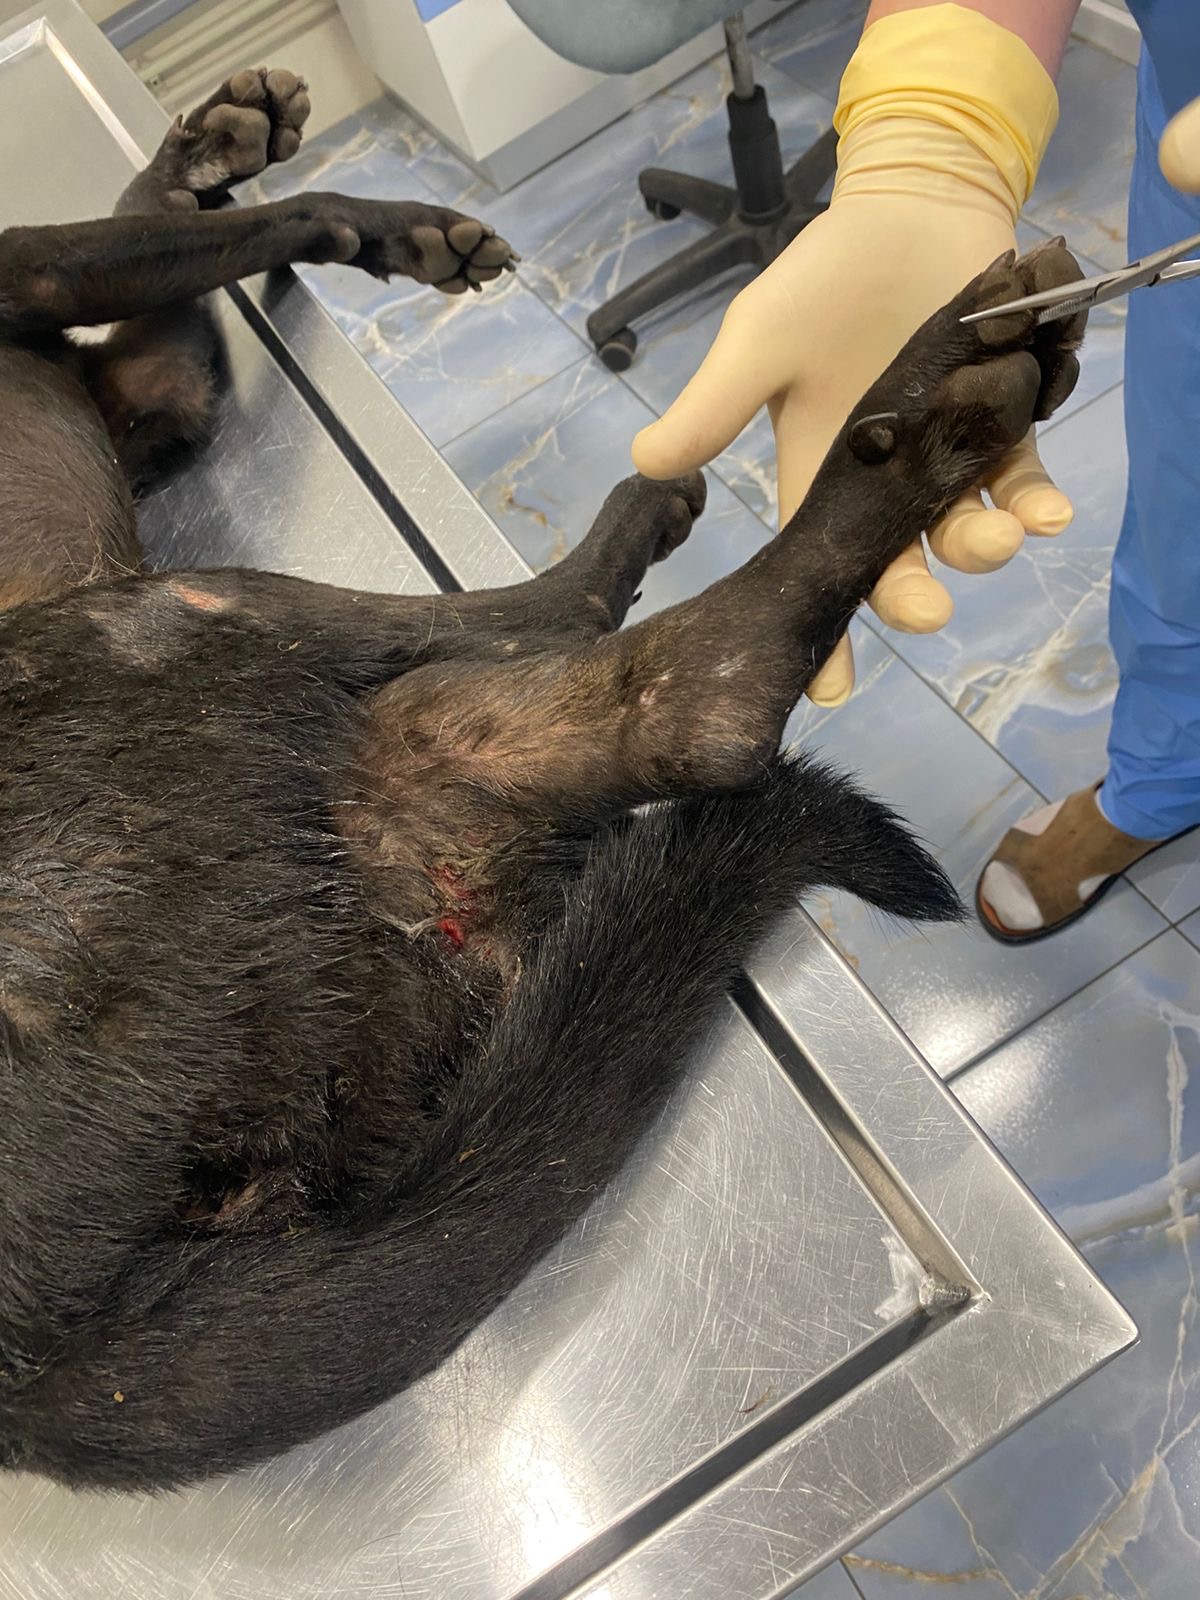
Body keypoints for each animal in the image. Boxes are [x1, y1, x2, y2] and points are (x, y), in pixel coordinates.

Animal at [0, 71, 1086, 1491]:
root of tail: (49, 1365)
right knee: (644, 662)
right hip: (166, 625)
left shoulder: (151, 396)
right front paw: (358, 214)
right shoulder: (39, 269)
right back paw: (911, 411)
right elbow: (220, 227)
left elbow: (177, 265)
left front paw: (230, 148)